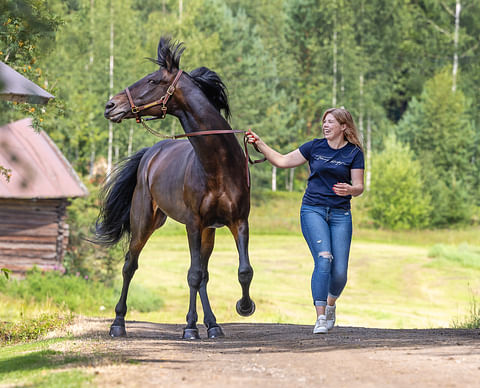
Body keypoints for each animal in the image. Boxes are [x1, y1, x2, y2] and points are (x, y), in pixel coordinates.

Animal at [95, 37, 256, 340]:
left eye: (152, 80)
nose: (110, 106)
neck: (218, 165)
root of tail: (150, 154)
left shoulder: (238, 221)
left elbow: (242, 270)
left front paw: (243, 307)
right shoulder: (193, 224)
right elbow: (192, 275)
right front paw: (190, 327)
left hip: (207, 232)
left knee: (204, 275)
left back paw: (213, 325)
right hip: (144, 223)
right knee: (129, 265)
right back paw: (118, 323)